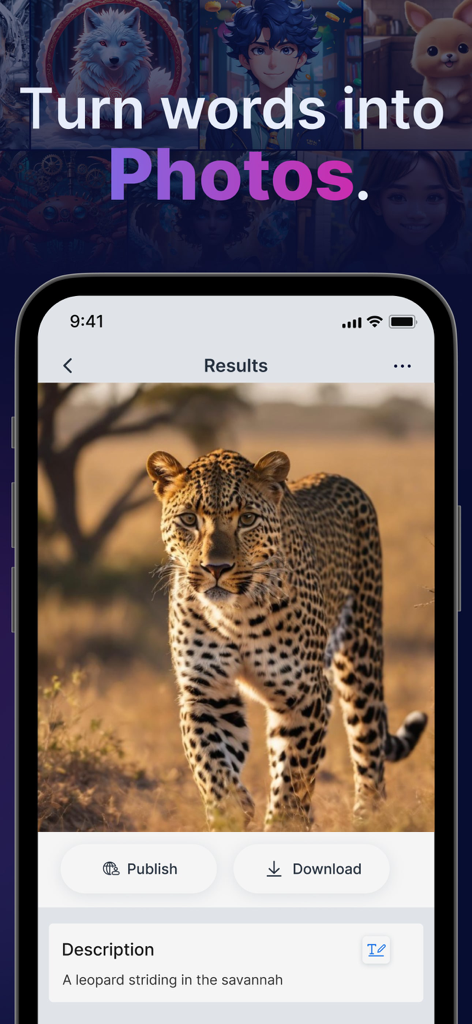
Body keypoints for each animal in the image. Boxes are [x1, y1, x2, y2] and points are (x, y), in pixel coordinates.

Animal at [147, 447, 428, 832]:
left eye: (247, 519)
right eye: (189, 519)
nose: (216, 568)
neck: (236, 613)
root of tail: (338, 478)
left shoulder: (304, 696)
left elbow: (293, 779)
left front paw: (280, 823)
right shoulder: (207, 693)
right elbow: (211, 765)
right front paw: (232, 810)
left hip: (360, 654)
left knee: (368, 745)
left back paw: (368, 819)